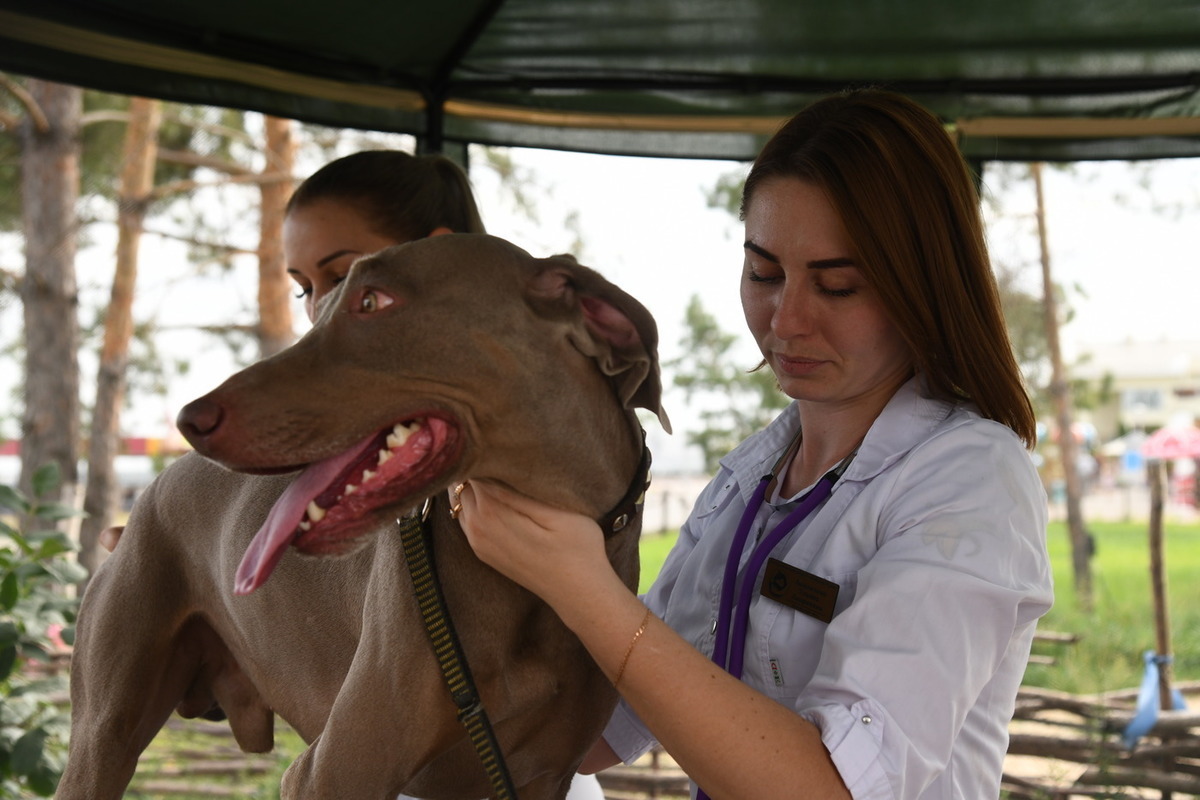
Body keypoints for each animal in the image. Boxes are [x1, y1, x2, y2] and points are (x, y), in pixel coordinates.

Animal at [58, 232, 667, 800]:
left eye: (372, 301)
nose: (190, 419)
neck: (529, 590)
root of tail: (146, 497)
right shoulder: (331, 770)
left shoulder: (541, 778)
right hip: (102, 738)